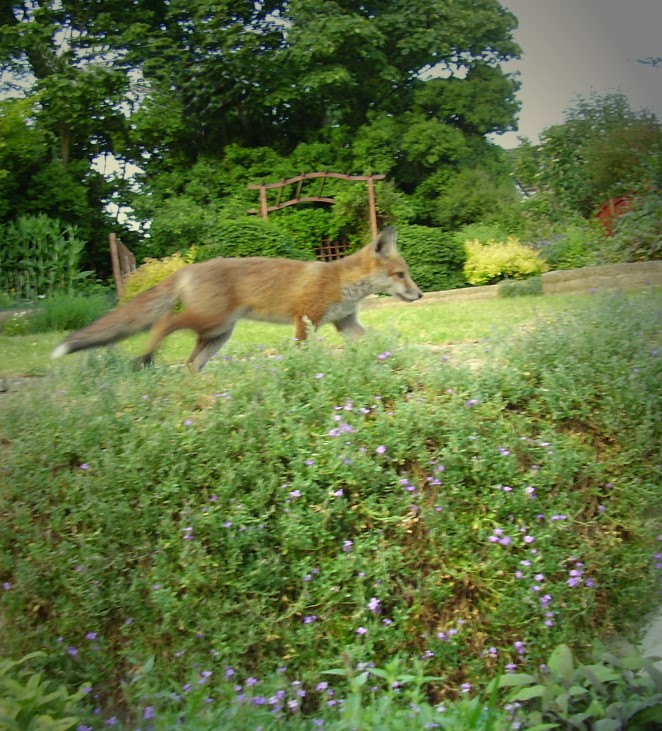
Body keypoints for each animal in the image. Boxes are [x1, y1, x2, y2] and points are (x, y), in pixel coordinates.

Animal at [53, 227, 426, 372]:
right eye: (400, 274)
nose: (420, 294)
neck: (342, 282)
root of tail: (188, 268)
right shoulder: (304, 319)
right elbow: (301, 353)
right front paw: (301, 372)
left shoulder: (345, 323)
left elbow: (376, 343)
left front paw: (395, 358)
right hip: (210, 321)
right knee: (164, 323)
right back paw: (146, 357)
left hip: (217, 335)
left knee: (191, 363)